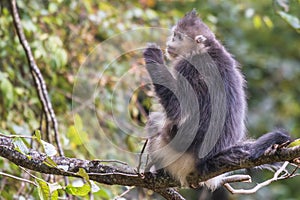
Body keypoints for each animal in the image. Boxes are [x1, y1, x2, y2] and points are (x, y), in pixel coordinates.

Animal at [143, 10, 290, 190]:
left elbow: (176, 108)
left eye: (177, 36)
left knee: (157, 121)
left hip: (171, 151)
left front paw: (153, 55)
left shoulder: (187, 67)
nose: (169, 42)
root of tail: (205, 161)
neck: (205, 49)